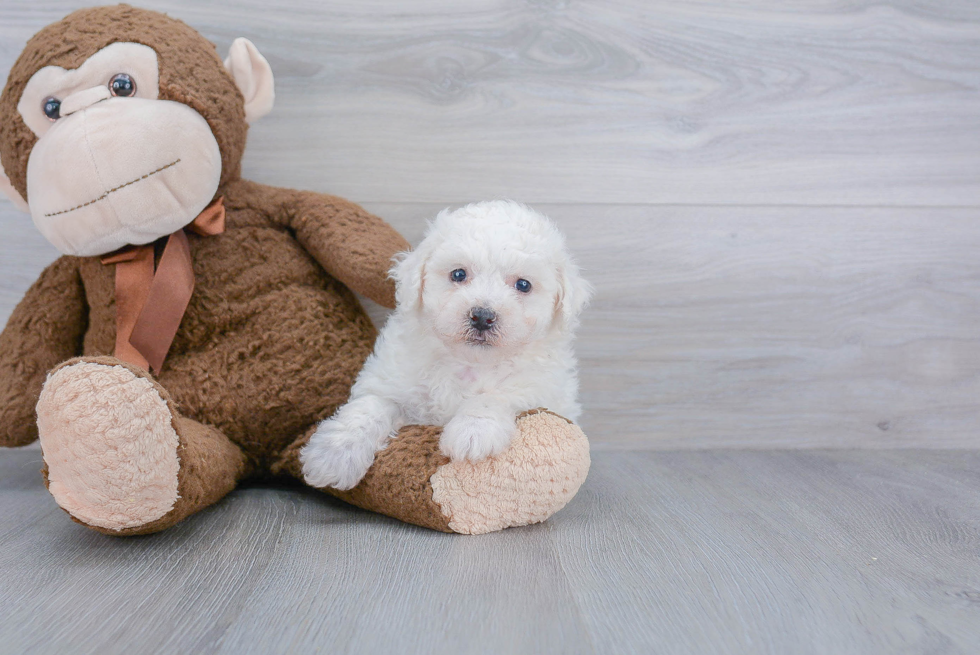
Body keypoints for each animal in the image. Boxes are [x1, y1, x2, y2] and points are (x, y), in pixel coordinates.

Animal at [300, 200, 588, 492]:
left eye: (523, 285)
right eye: (458, 274)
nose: (482, 316)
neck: (469, 362)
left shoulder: (543, 390)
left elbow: (497, 395)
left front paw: (473, 432)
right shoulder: (392, 380)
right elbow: (370, 407)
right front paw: (334, 454)